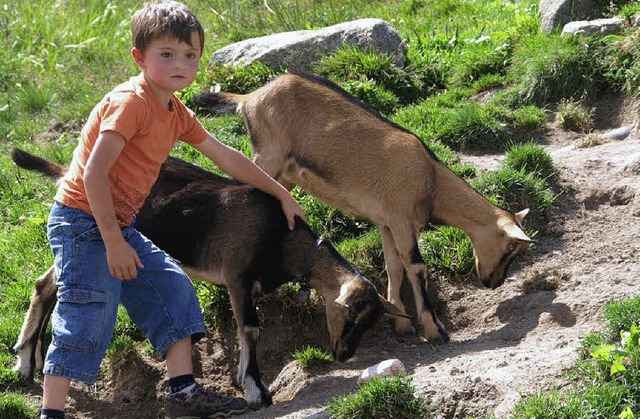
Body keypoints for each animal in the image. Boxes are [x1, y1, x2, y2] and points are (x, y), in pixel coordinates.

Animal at [10, 149, 404, 408]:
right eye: (351, 315)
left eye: (371, 320)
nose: (344, 353)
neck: (280, 237)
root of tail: (68, 172)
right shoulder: (237, 274)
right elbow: (251, 329)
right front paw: (256, 390)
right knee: (49, 285)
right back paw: (26, 361)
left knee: (50, 286)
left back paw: (31, 360)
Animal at [191, 72, 536, 344]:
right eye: (510, 249)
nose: (493, 282)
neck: (432, 181)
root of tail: (249, 98)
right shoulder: (400, 218)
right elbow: (416, 267)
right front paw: (434, 329)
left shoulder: (386, 222)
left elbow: (394, 267)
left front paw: (401, 323)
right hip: (267, 156)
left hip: (284, 173)